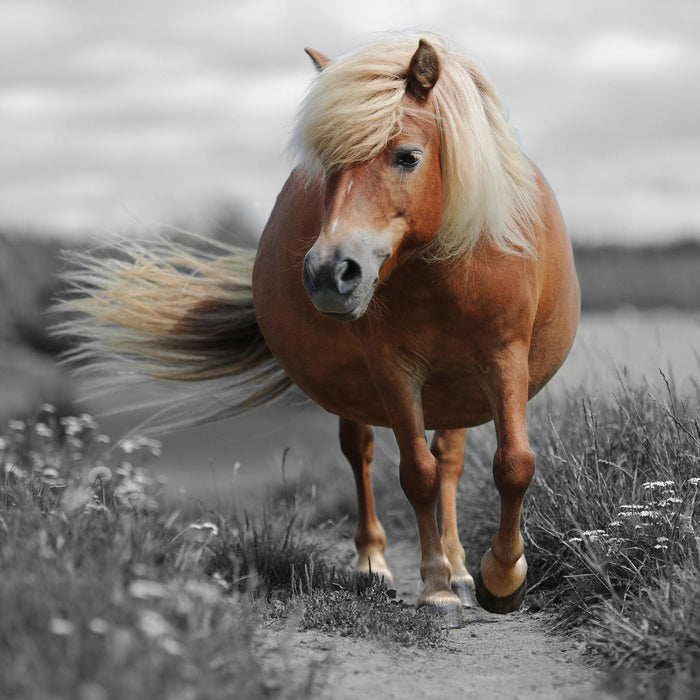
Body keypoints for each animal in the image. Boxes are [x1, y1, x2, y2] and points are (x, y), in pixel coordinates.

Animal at [57, 35, 576, 628]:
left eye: (407, 156)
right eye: (327, 164)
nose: (331, 273)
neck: (442, 267)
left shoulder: (504, 358)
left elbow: (512, 465)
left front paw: (500, 579)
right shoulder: (393, 369)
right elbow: (415, 473)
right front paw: (436, 587)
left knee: (450, 459)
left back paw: (464, 569)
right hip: (363, 391)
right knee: (363, 454)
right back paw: (375, 566)